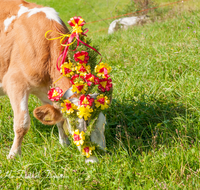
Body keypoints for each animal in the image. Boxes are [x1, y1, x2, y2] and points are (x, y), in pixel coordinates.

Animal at [0, 0, 105, 163]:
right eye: (79, 126)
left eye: (103, 125)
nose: (95, 160)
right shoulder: (15, 82)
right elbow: (22, 124)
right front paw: (14, 155)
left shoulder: (47, 90)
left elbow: (58, 118)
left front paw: (64, 143)